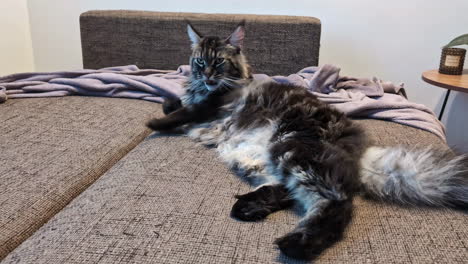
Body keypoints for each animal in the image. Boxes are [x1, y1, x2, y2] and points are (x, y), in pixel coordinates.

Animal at [146, 22, 468, 260]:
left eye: (219, 62)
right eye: (200, 61)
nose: (208, 75)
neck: (208, 89)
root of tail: (360, 149)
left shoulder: (210, 105)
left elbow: (181, 112)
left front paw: (153, 123)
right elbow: (175, 104)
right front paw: (169, 102)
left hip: (293, 148)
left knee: (337, 203)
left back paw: (297, 244)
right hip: (267, 162)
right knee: (288, 192)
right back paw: (248, 208)